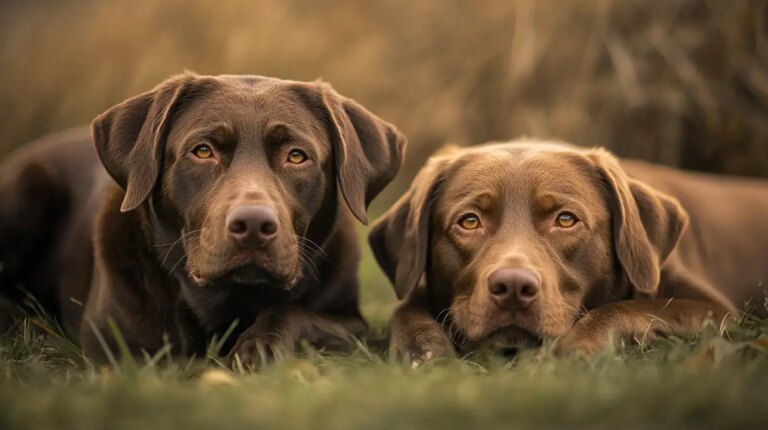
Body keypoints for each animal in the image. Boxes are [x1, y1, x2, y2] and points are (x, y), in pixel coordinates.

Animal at [0, 71, 408, 362]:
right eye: (202, 151)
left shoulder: (349, 324)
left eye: (296, 156)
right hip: (25, 190)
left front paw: (259, 345)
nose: (254, 226)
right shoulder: (116, 341)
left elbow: (292, 312)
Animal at [368, 141, 764, 362]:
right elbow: (406, 307)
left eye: (566, 219)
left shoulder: (718, 312)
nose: (513, 288)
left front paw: (568, 349)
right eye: (469, 221)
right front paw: (422, 347)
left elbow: (628, 308)